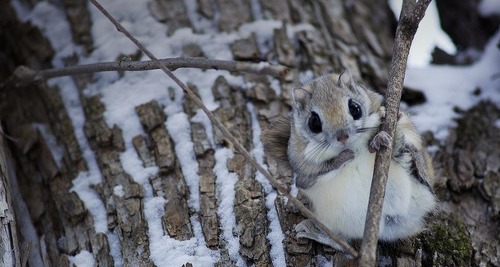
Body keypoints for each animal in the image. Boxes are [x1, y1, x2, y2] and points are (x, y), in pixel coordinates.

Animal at [264, 71, 436, 251]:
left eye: (355, 108)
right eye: (314, 122)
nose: (342, 137)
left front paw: (381, 127)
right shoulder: (303, 168)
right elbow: (311, 177)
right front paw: (343, 158)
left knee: (412, 164)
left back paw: (394, 143)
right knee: (344, 243)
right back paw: (317, 234)